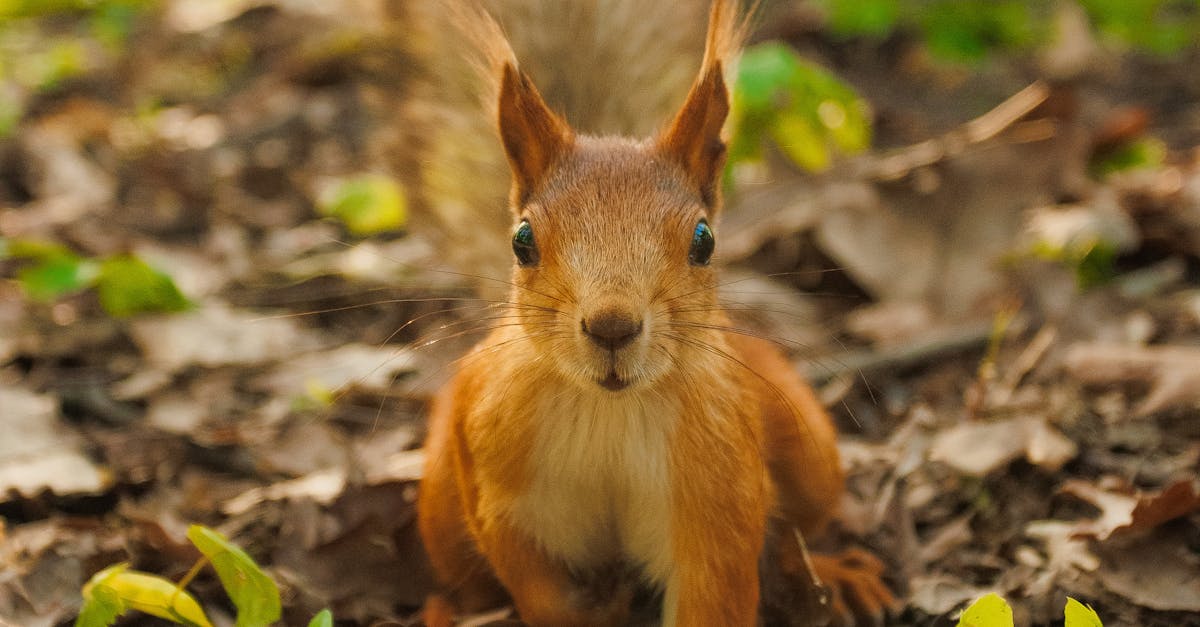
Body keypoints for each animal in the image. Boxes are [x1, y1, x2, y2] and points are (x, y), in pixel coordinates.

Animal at [417, 2, 897, 619]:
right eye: (523, 241)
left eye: (704, 241)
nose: (612, 327)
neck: (609, 410)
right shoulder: (501, 495)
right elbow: (538, 589)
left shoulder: (720, 500)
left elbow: (716, 593)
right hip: (441, 504)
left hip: (812, 453)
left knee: (800, 534)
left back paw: (836, 576)